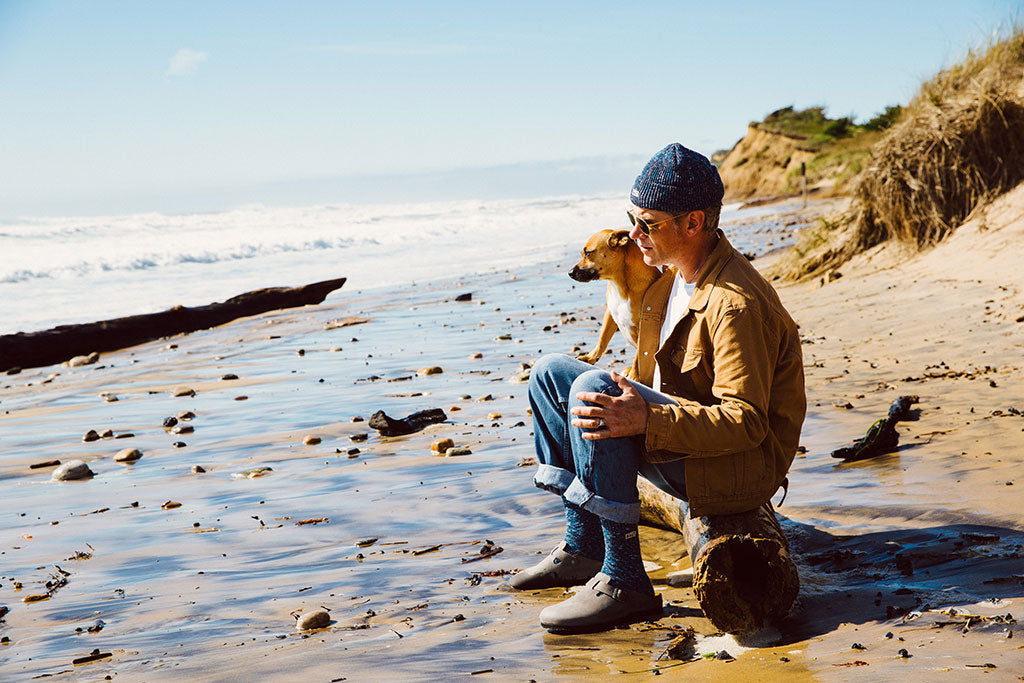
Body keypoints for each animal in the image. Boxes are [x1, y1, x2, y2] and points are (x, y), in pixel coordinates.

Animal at [573, 229, 659, 366]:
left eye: (588, 253)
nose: (570, 272)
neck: (619, 284)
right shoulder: (610, 313)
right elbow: (603, 338)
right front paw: (590, 357)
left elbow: (638, 360)